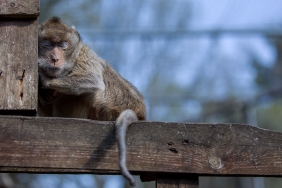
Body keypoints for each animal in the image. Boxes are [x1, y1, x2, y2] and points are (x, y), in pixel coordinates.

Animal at [37, 17, 145, 187]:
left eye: (62, 45)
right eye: (47, 44)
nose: (55, 58)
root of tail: (139, 110)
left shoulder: (83, 53)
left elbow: (91, 79)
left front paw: (43, 78)